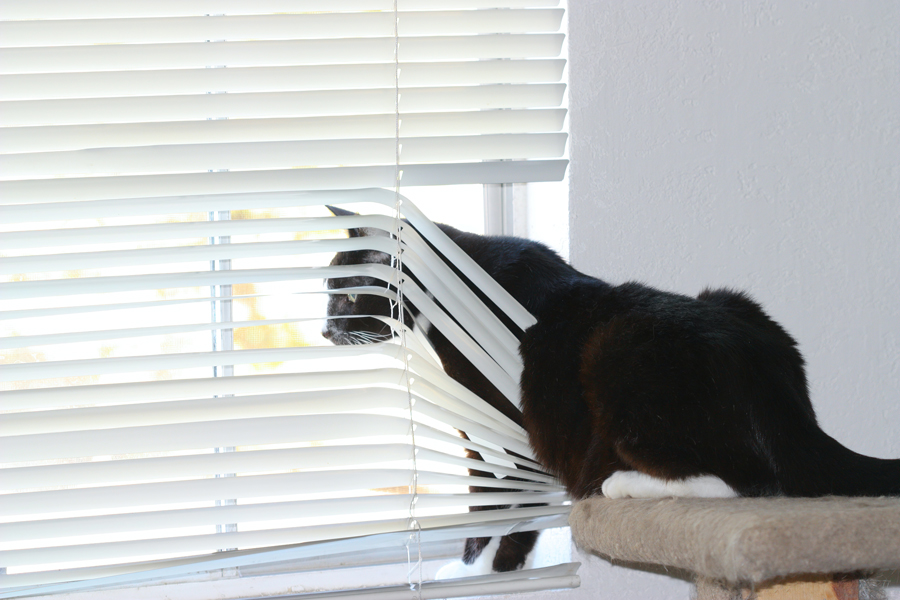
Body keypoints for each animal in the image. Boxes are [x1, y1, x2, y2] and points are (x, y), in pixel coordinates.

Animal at [326, 207, 900, 572]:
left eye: (349, 296)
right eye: (329, 292)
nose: (326, 330)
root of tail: (789, 408)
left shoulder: (499, 420)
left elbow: (496, 495)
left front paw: (485, 563)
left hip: (615, 347)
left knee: (751, 481)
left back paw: (620, 485)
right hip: (730, 298)